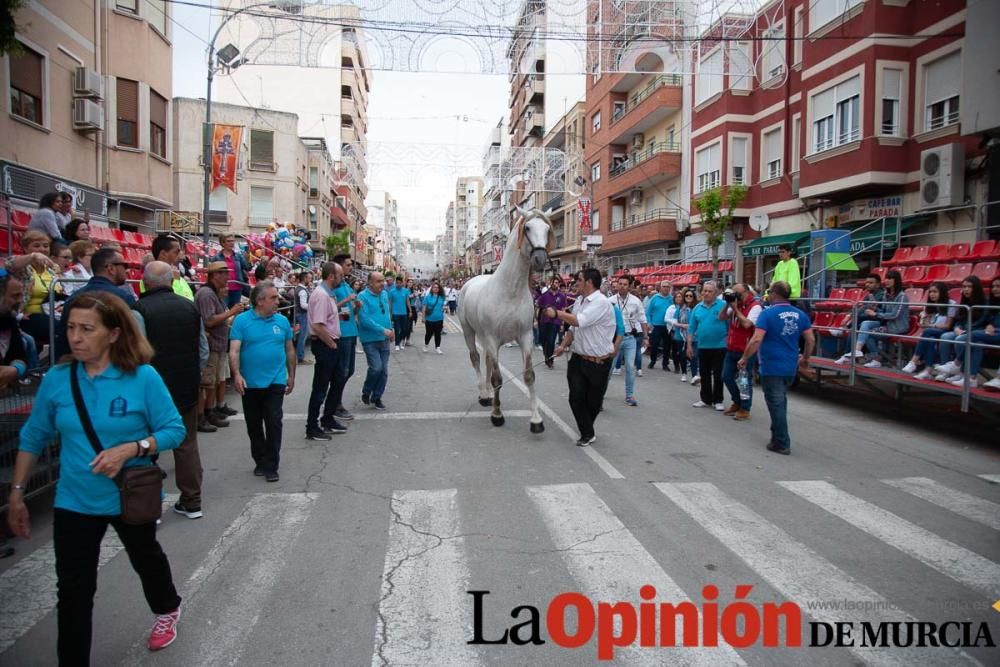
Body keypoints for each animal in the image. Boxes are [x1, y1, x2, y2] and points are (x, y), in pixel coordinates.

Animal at [458, 205, 552, 434]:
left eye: (547, 229)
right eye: (527, 227)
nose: (540, 259)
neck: (510, 291)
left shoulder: (526, 336)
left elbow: (529, 375)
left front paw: (536, 420)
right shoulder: (493, 338)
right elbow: (498, 377)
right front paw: (497, 415)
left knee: (487, 360)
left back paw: (489, 394)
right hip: (470, 331)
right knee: (476, 358)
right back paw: (484, 394)